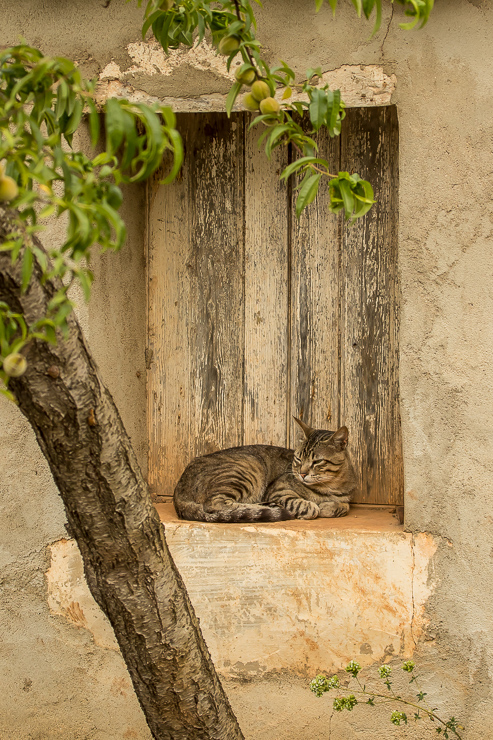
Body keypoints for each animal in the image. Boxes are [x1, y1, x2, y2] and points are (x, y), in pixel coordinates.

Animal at [174, 416, 358, 528]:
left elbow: (345, 506)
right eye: (298, 459)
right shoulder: (279, 491)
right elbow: (307, 506)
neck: (330, 486)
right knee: (215, 505)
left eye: (317, 461)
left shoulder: (345, 498)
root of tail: (178, 491)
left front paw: (330, 507)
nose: (302, 474)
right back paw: (269, 506)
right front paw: (316, 507)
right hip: (247, 470)